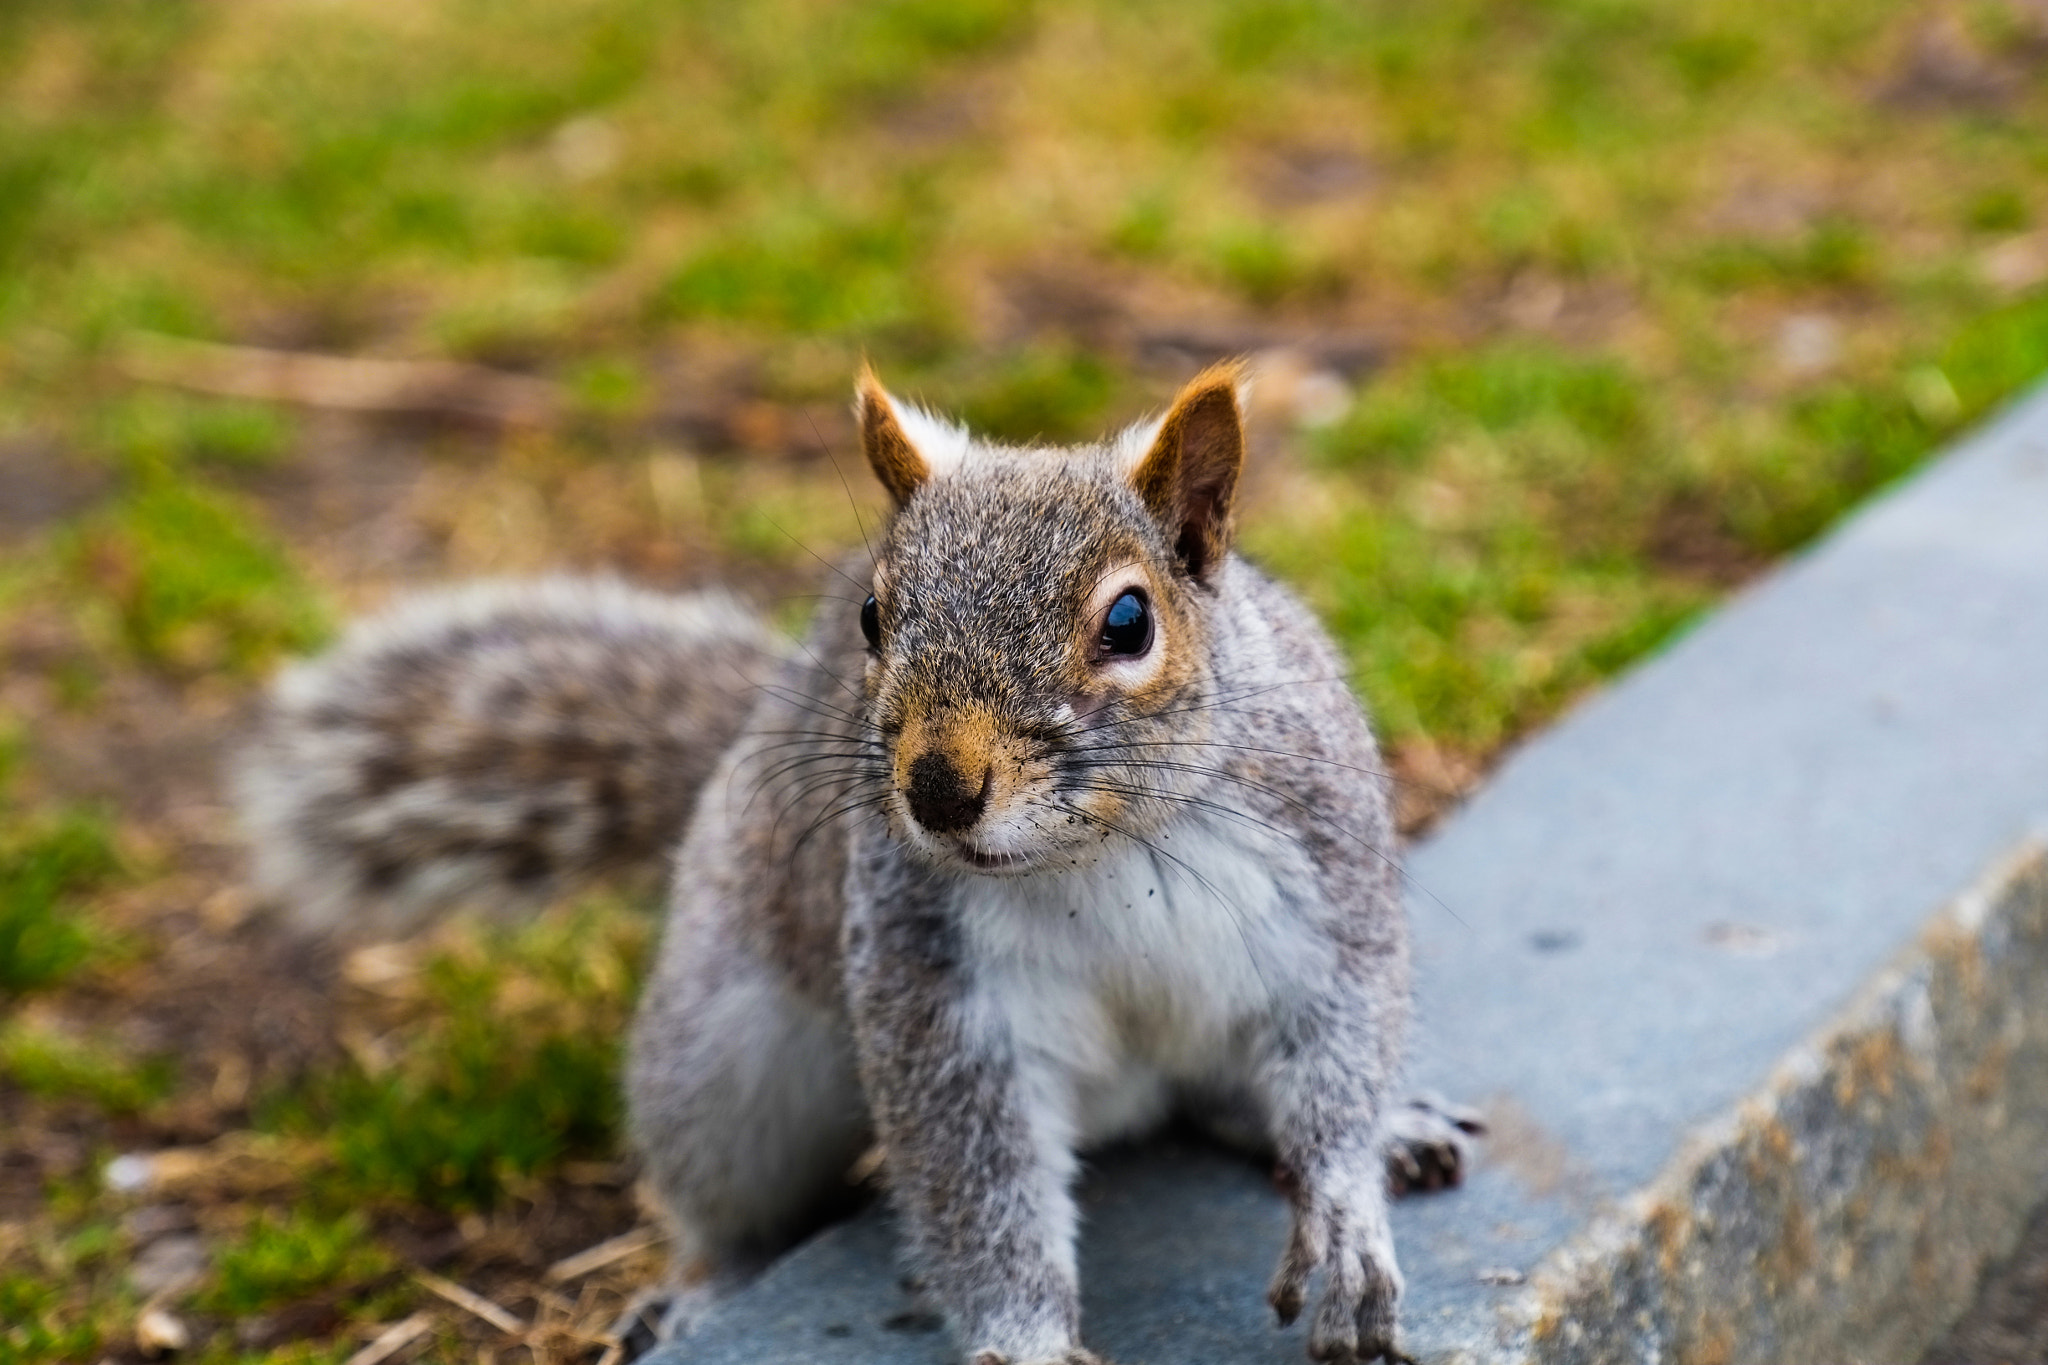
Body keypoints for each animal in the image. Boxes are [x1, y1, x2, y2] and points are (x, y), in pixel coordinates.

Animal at [239, 366, 1482, 1365]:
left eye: (1129, 622)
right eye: (873, 618)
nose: (935, 788)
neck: (1104, 847)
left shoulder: (1323, 882)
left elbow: (1341, 1049)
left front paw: (1345, 1220)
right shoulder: (933, 981)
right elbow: (973, 1181)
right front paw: (1026, 1344)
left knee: (1234, 1092)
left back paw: (1390, 1131)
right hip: (723, 1060)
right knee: (724, 1200)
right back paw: (699, 1293)